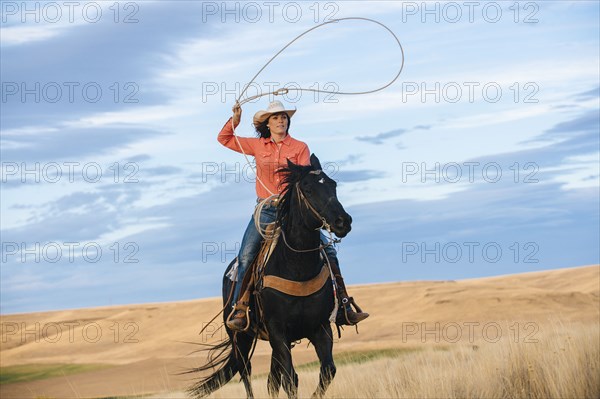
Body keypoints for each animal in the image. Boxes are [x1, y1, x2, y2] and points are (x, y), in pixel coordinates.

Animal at [189, 155, 352, 399]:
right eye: (308, 188)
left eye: (333, 185)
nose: (343, 222)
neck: (297, 267)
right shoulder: (277, 330)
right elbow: (291, 379)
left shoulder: (320, 328)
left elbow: (327, 371)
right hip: (240, 338)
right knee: (245, 371)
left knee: (272, 380)